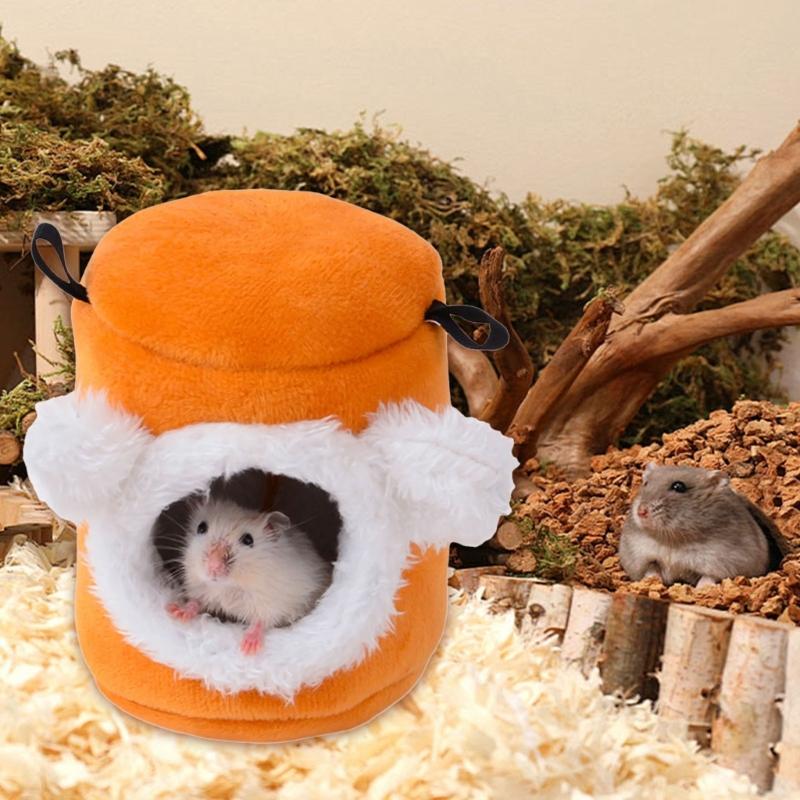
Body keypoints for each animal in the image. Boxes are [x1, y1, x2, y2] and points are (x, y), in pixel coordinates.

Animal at [166, 497, 332, 655]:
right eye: (201, 528)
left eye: (248, 540)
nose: (213, 567)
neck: (228, 586)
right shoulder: (200, 588)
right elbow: (195, 602)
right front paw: (176, 612)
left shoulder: (270, 602)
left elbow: (261, 620)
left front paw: (248, 649)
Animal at [618, 463, 775, 587]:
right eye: (645, 483)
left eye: (679, 486)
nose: (641, 511)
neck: (672, 539)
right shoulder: (640, 554)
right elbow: (651, 569)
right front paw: (651, 581)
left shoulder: (723, 562)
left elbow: (709, 577)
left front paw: (702, 589)